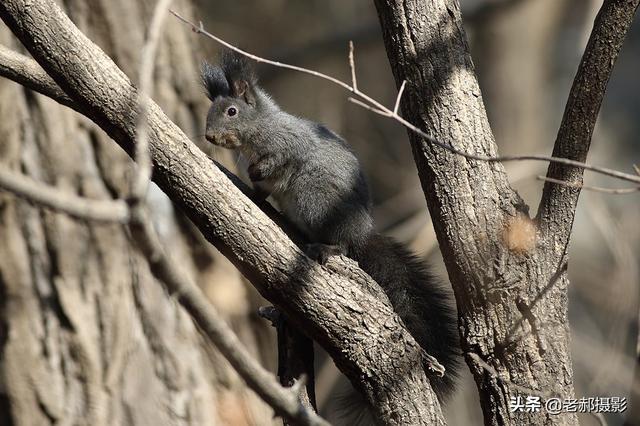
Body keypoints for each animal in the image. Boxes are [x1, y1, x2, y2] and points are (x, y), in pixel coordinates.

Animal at [202, 50, 458, 422]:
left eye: (231, 111)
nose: (209, 137)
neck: (261, 128)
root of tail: (361, 231)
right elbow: (262, 188)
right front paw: (254, 189)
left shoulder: (288, 144)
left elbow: (277, 161)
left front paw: (256, 169)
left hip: (316, 200)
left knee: (342, 244)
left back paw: (328, 247)